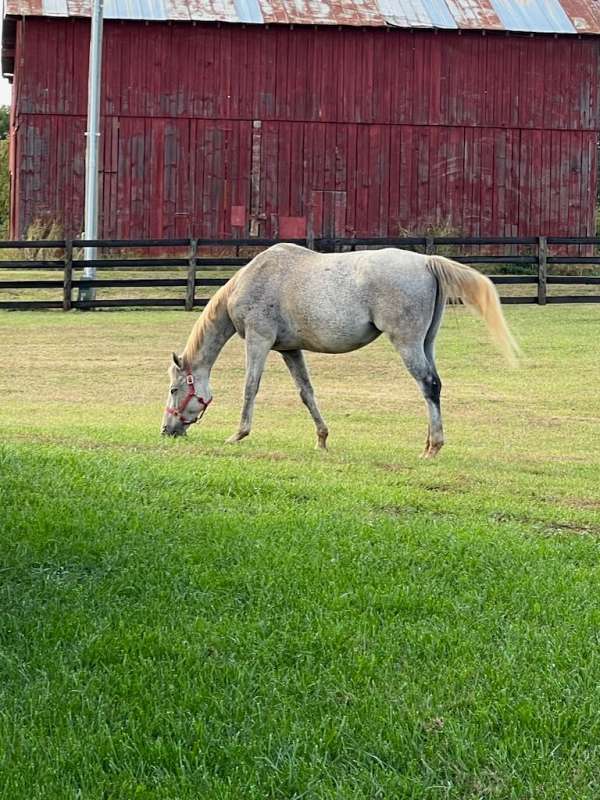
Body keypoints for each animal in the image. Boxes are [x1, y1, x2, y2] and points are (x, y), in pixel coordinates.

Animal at [162, 244, 516, 456]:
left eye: (174, 389)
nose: (167, 430)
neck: (255, 278)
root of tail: (427, 262)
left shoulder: (258, 340)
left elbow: (251, 387)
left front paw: (239, 434)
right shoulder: (290, 350)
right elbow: (306, 393)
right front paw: (322, 439)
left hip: (407, 343)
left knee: (428, 385)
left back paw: (433, 447)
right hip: (425, 343)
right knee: (434, 386)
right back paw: (430, 442)